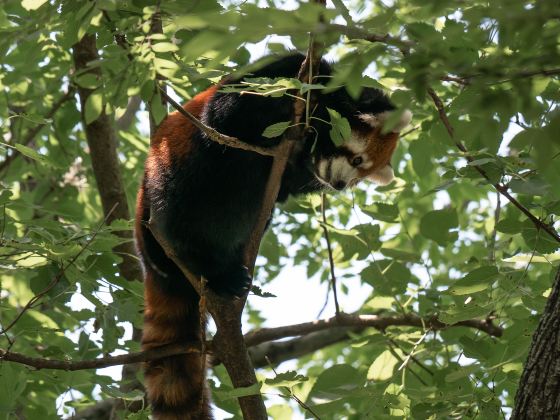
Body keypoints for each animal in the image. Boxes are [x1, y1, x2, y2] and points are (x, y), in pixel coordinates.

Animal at [133, 54, 410, 418]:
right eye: (356, 159)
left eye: (358, 178)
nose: (338, 185)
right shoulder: (281, 72)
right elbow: (229, 112)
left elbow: (287, 184)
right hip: (163, 187)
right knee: (178, 214)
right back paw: (202, 265)